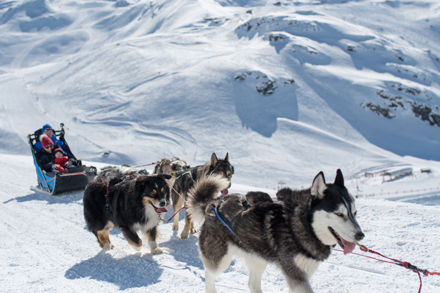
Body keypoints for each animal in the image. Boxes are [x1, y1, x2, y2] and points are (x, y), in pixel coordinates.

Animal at [188, 170, 364, 290]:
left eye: (355, 213)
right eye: (339, 214)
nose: (361, 235)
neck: (298, 225)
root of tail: (213, 203)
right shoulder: (296, 276)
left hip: (257, 257)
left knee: (252, 284)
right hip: (219, 260)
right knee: (209, 276)